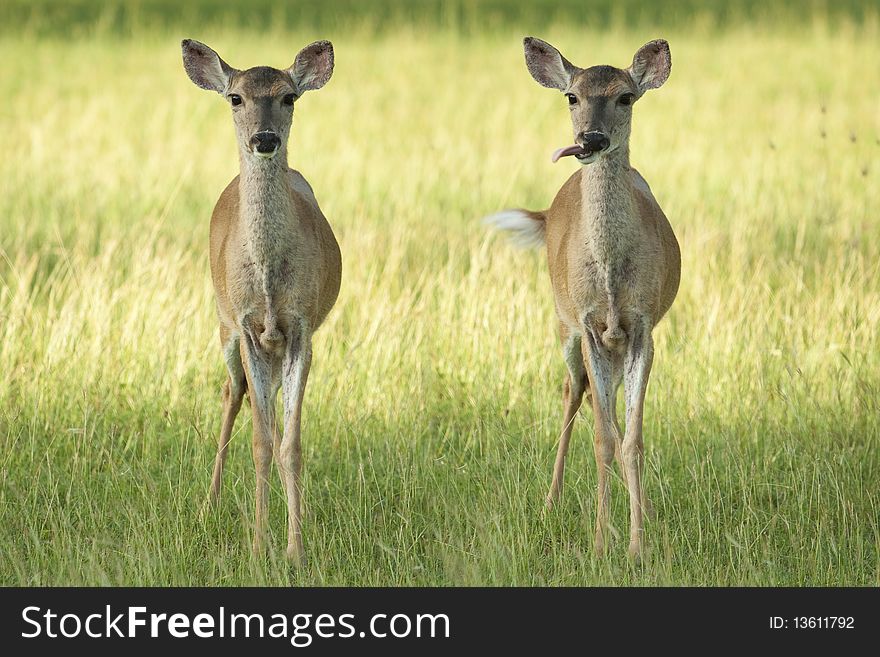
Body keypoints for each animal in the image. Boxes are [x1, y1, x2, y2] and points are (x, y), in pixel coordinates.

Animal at [488, 37, 680, 560]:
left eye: (626, 97)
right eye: (571, 96)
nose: (590, 140)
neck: (611, 277)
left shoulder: (642, 327)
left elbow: (631, 439)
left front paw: (637, 543)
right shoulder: (590, 325)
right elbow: (602, 438)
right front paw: (599, 542)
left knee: (606, 408)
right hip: (563, 324)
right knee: (573, 394)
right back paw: (550, 502)